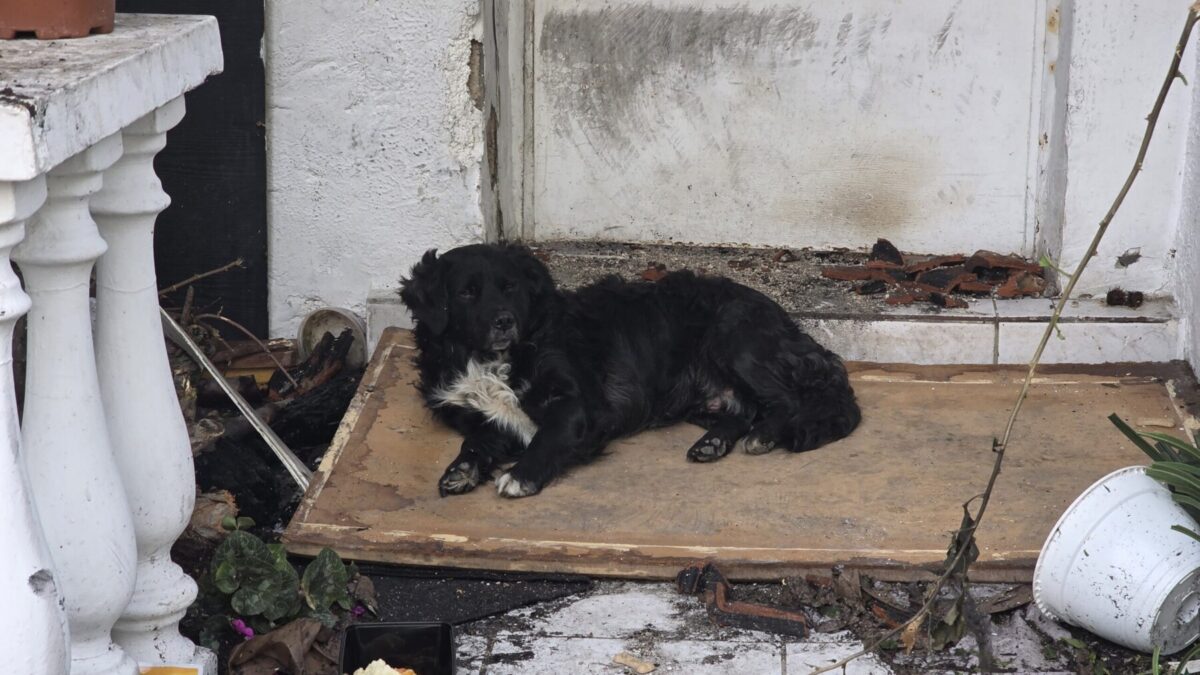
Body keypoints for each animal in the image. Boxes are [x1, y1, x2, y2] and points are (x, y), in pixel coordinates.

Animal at [399, 244, 861, 498]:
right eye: (467, 293)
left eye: (510, 287)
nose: (504, 321)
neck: (490, 358)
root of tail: (788, 323)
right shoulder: (490, 418)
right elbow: (476, 440)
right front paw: (460, 470)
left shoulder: (579, 405)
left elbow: (547, 437)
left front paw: (522, 476)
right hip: (700, 396)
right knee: (743, 409)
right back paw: (712, 443)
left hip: (734, 338)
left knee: (785, 399)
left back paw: (764, 435)